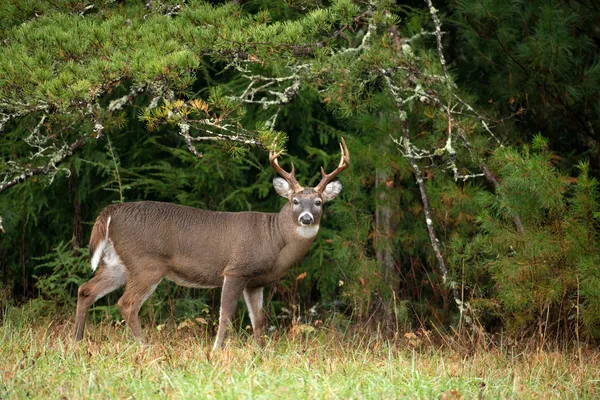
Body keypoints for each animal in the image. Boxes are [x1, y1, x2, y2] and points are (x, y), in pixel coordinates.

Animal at [74, 138, 350, 350]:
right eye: (295, 201)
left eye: (319, 202)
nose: (306, 218)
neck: (273, 238)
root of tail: (112, 211)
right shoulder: (235, 270)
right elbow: (225, 315)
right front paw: (217, 350)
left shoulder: (255, 282)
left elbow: (258, 320)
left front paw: (262, 352)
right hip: (147, 263)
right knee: (127, 303)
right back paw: (145, 346)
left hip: (118, 262)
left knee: (86, 289)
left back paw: (77, 341)